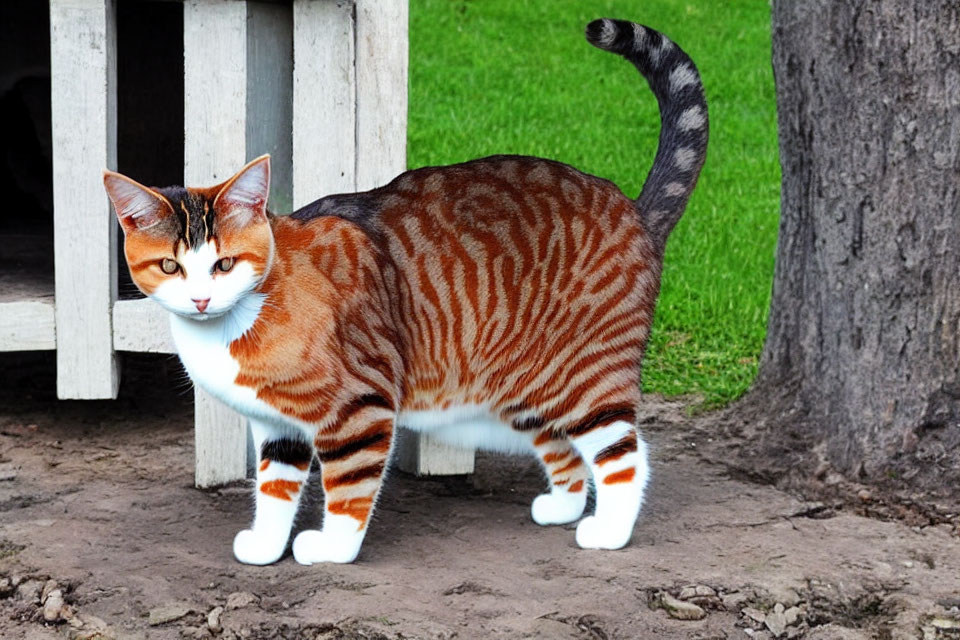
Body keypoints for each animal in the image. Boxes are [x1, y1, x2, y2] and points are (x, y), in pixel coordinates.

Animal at [103, 17, 704, 564]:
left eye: (224, 263)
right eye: (170, 266)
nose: (201, 299)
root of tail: (636, 210)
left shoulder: (358, 408)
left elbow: (348, 488)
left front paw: (333, 549)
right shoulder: (278, 426)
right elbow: (275, 489)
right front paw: (267, 546)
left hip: (582, 374)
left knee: (625, 454)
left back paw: (612, 531)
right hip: (528, 389)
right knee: (564, 448)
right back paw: (563, 506)